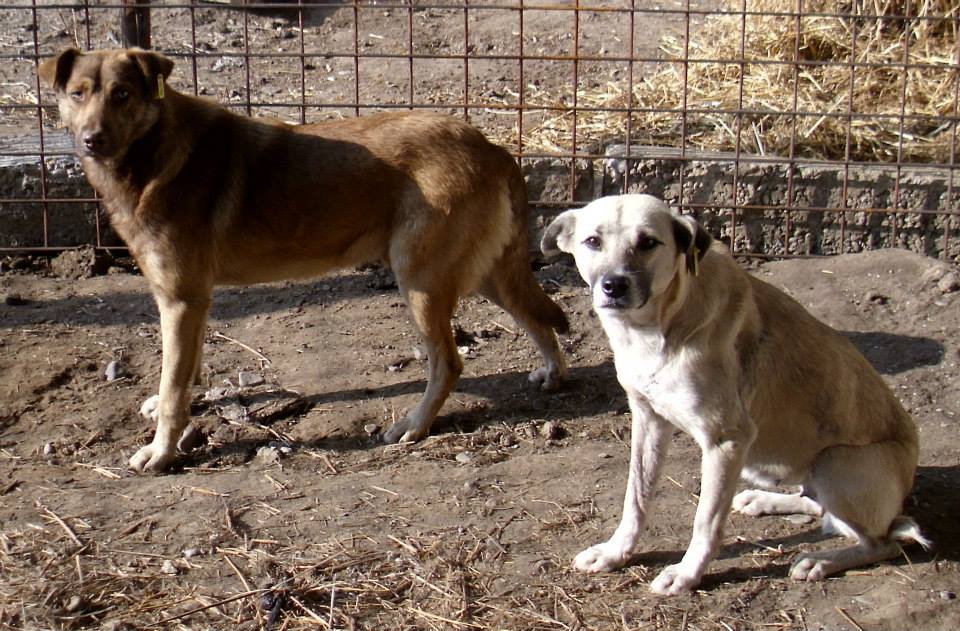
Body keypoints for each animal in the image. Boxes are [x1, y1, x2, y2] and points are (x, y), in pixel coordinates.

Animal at [39, 47, 568, 473]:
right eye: (78, 94)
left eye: (123, 94)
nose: (91, 140)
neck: (151, 154)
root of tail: (489, 144)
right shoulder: (191, 301)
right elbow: (184, 371)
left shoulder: (181, 299)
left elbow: (174, 391)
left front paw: (162, 452)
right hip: (479, 273)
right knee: (537, 317)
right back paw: (554, 371)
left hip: (421, 281)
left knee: (450, 363)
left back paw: (415, 425)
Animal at [542, 194, 929, 595]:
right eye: (592, 241)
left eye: (648, 242)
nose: (613, 286)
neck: (660, 324)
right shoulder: (649, 420)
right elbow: (636, 497)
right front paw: (615, 552)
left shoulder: (725, 440)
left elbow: (706, 521)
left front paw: (686, 574)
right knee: (821, 507)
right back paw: (765, 500)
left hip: (835, 463)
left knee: (884, 541)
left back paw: (821, 560)